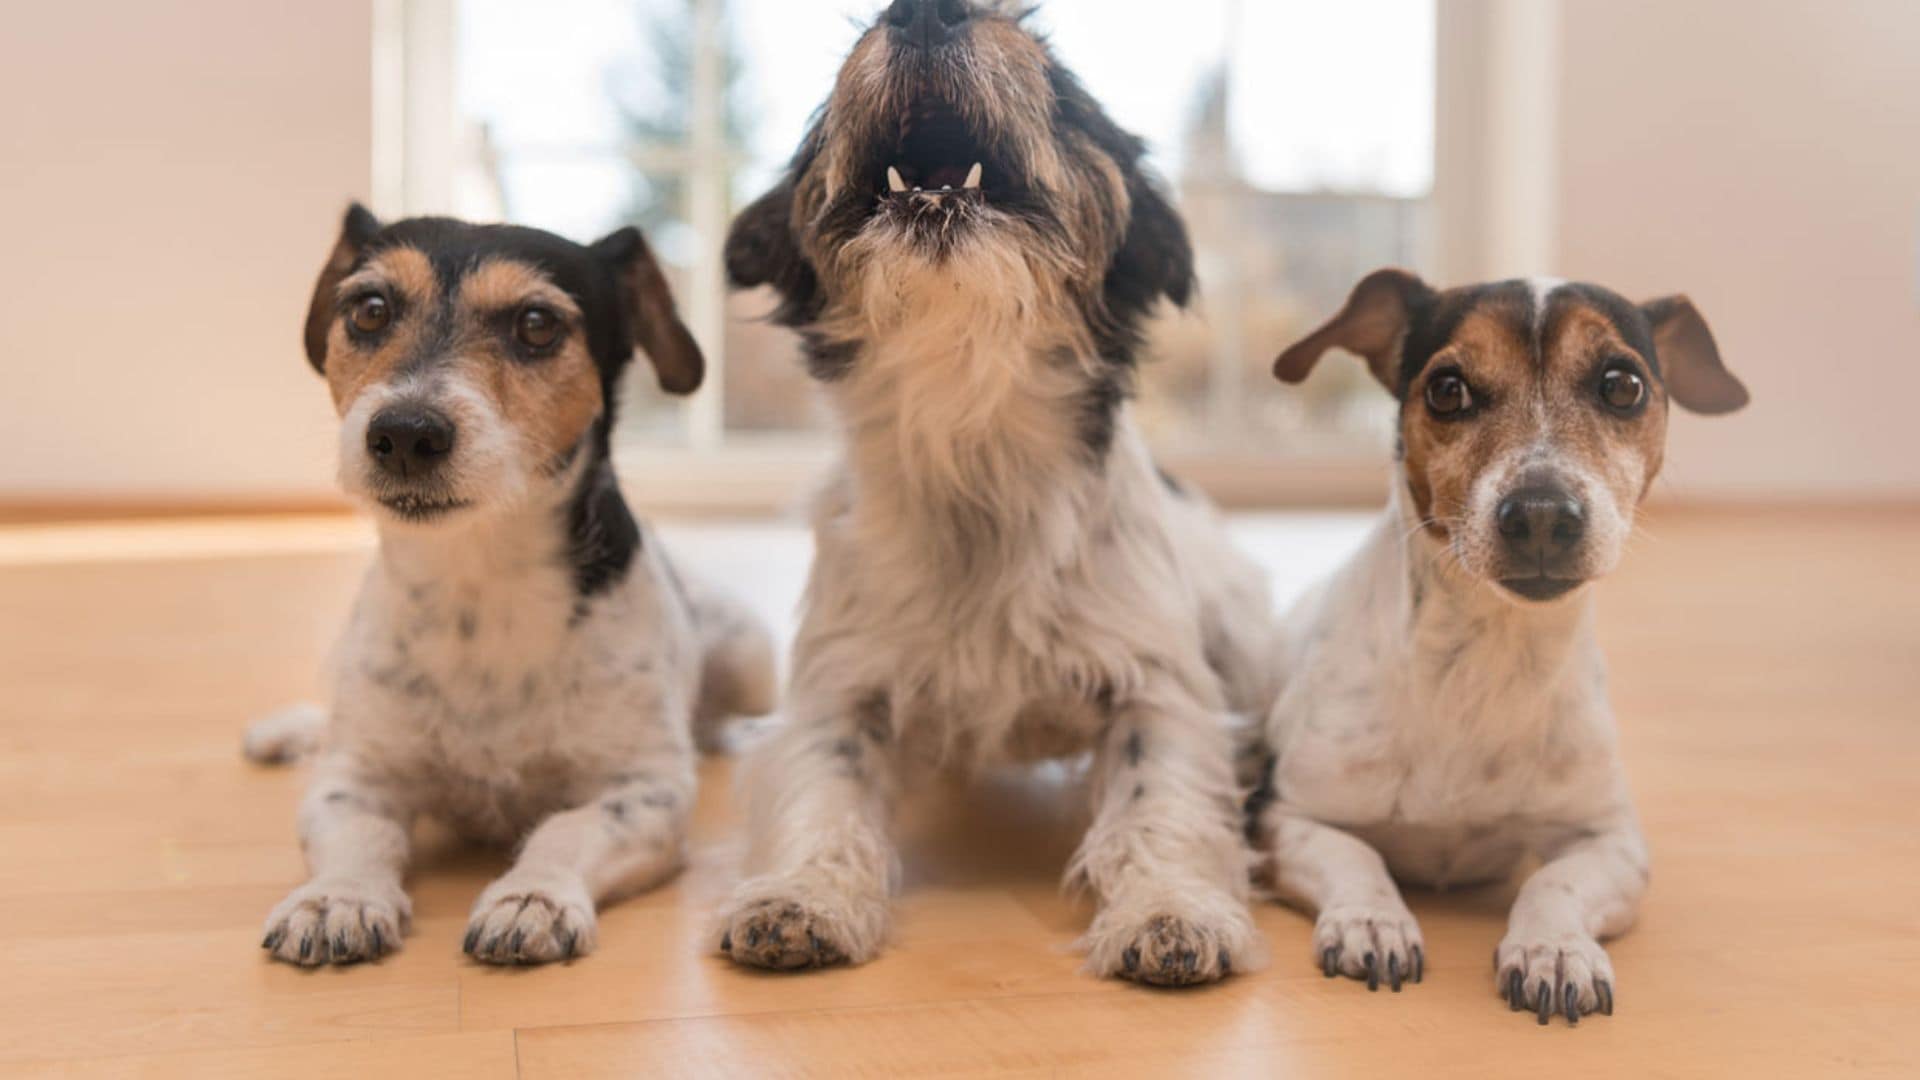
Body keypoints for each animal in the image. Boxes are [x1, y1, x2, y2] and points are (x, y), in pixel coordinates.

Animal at [245, 205, 771, 960]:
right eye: (369, 309)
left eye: (537, 323)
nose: (405, 432)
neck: (479, 585)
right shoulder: (354, 781)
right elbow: (360, 833)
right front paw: (335, 897)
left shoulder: (645, 790)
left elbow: (567, 829)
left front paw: (533, 896)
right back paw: (289, 730)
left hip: (752, 656)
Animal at [710, 0, 1274, 980]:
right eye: (850, 54)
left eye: (1060, 84)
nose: (922, 11)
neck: (971, 436)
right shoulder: (838, 686)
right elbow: (822, 785)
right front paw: (802, 896)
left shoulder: (1156, 687)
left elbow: (1160, 801)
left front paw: (1170, 911)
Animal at [1251, 269, 1751, 1014]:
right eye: (1446, 389)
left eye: (1622, 384)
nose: (1541, 515)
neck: (1482, 656)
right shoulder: (1286, 817)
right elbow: (1357, 856)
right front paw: (1373, 918)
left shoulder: (1612, 842)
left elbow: (1553, 882)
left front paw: (1555, 948)